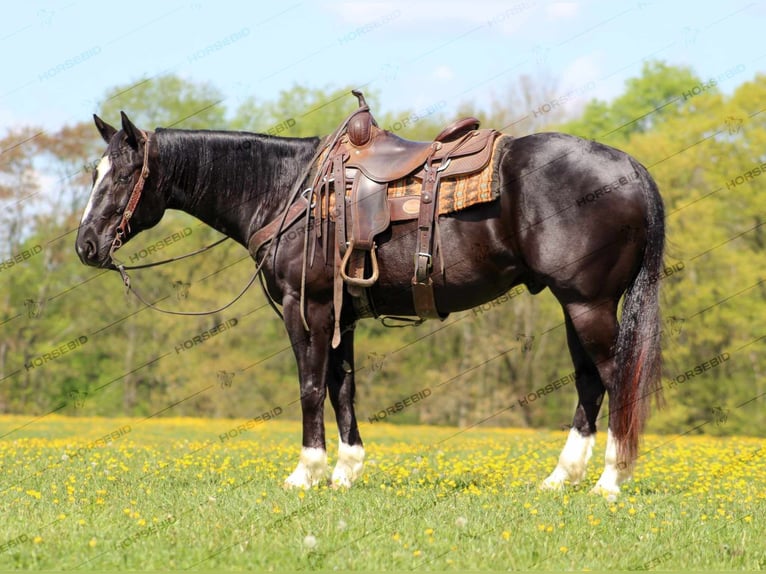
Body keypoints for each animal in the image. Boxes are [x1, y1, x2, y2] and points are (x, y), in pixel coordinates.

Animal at [79, 110, 664, 498]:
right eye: (94, 174)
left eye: (124, 174)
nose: (86, 245)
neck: (286, 190)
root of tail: (630, 167)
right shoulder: (341, 314)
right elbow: (343, 389)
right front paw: (347, 471)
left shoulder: (306, 307)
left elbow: (311, 387)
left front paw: (306, 473)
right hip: (576, 305)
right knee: (589, 384)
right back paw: (560, 478)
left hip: (587, 304)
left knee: (614, 379)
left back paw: (609, 482)